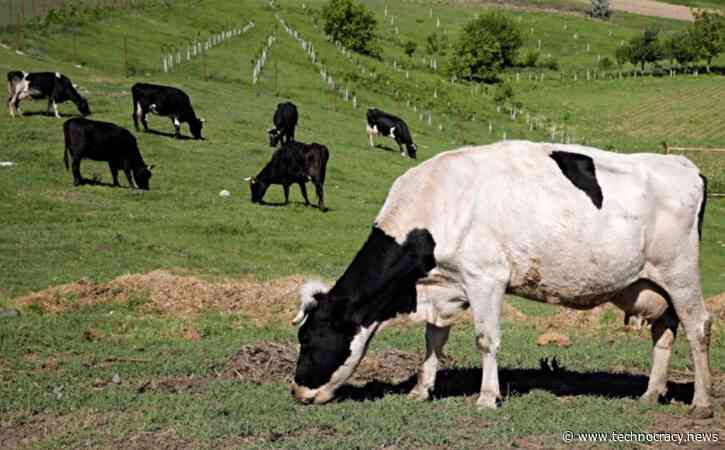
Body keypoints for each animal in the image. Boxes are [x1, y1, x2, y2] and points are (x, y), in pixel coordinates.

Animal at [290, 140, 713, 418]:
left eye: (308, 338)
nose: (296, 391)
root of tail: (685, 165)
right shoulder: (446, 286)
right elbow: (433, 339)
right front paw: (421, 390)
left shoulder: (486, 277)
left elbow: (486, 340)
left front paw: (487, 398)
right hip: (653, 285)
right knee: (664, 333)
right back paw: (651, 393)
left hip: (680, 273)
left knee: (699, 327)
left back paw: (702, 403)